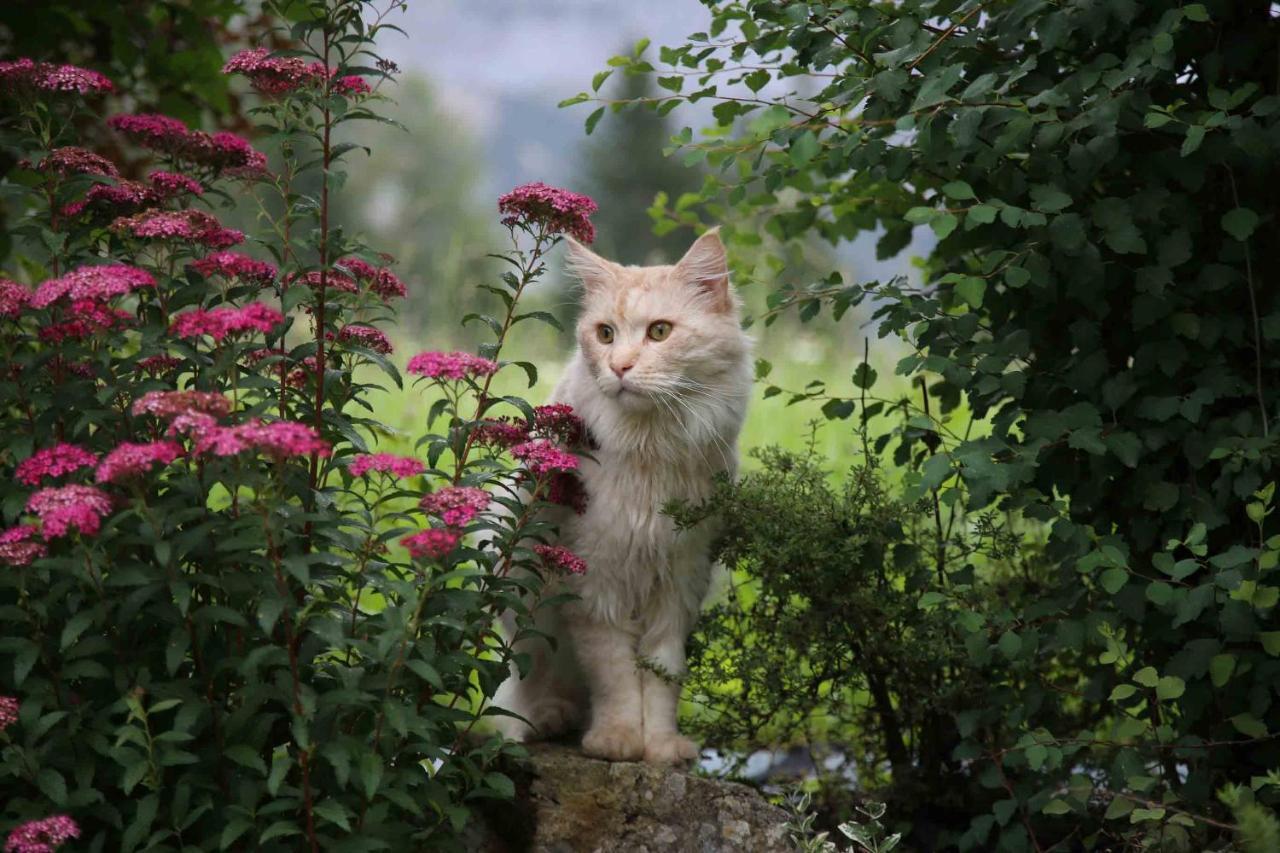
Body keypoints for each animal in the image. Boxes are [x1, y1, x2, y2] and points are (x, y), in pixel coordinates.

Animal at [488, 227, 747, 763]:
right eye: (605, 334)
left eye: (660, 332)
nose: (620, 367)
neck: (651, 449)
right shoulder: (595, 586)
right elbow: (616, 678)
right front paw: (618, 741)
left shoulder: (679, 582)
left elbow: (662, 676)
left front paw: (663, 746)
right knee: (522, 690)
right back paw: (549, 719)